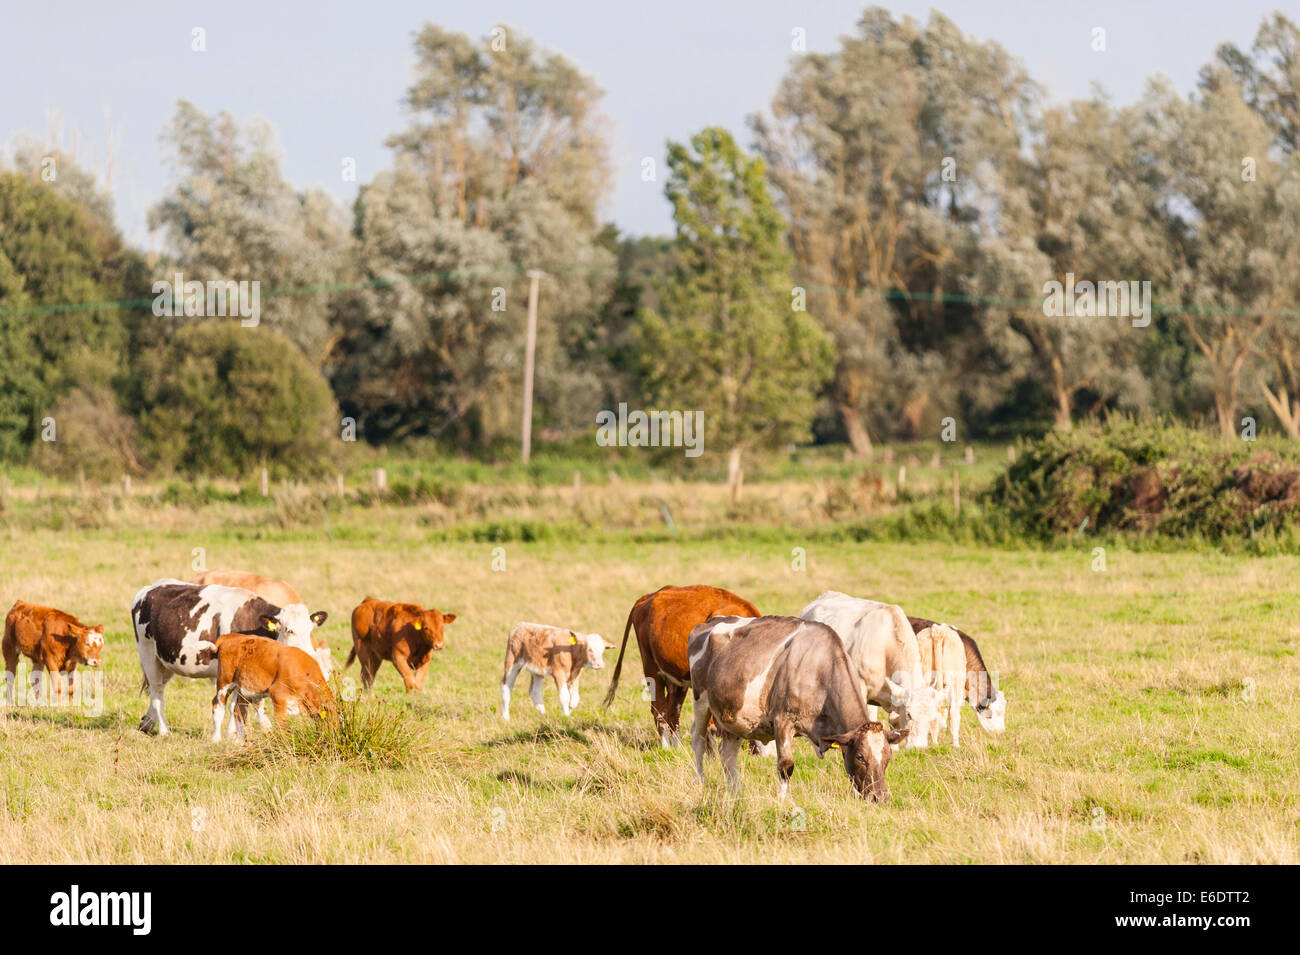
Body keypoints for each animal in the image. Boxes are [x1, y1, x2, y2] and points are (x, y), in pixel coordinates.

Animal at [130, 574, 327, 738]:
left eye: (310, 629)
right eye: (289, 630)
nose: (306, 655)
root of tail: (149, 588)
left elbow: (238, 705)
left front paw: (233, 734)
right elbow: (241, 704)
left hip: (166, 659)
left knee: (157, 689)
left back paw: (147, 723)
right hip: (147, 653)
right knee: (157, 692)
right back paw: (164, 731)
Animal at [200, 634, 335, 748]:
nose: (334, 735)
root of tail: (231, 636)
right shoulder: (278, 695)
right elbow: (282, 724)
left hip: (244, 688)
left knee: (239, 710)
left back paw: (240, 741)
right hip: (224, 682)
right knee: (218, 705)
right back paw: (216, 740)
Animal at [600, 582, 759, 748]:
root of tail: (649, 596)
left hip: (676, 679)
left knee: (673, 713)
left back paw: (678, 747)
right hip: (651, 668)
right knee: (659, 710)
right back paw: (666, 748)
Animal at [686, 613, 909, 800]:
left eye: (888, 757)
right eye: (861, 757)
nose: (880, 797)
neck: (818, 670)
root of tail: (710, 622)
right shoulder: (782, 720)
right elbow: (786, 765)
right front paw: (783, 801)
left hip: (734, 717)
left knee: (728, 754)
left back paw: (736, 792)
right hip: (700, 700)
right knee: (698, 739)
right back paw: (699, 782)